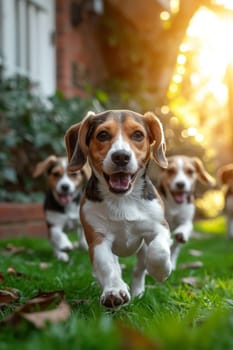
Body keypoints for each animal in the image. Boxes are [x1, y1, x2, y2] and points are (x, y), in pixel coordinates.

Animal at [65, 110, 173, 308]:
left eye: (138, 135)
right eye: (102, 135)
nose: (121, 156)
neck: (123, 199)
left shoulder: (159, 226)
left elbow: (159, 251)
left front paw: (161, 271)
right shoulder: (97, 239)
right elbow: (107, 266)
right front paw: (114, 290)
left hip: (142, 251)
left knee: (139, 270)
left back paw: (139, 292)